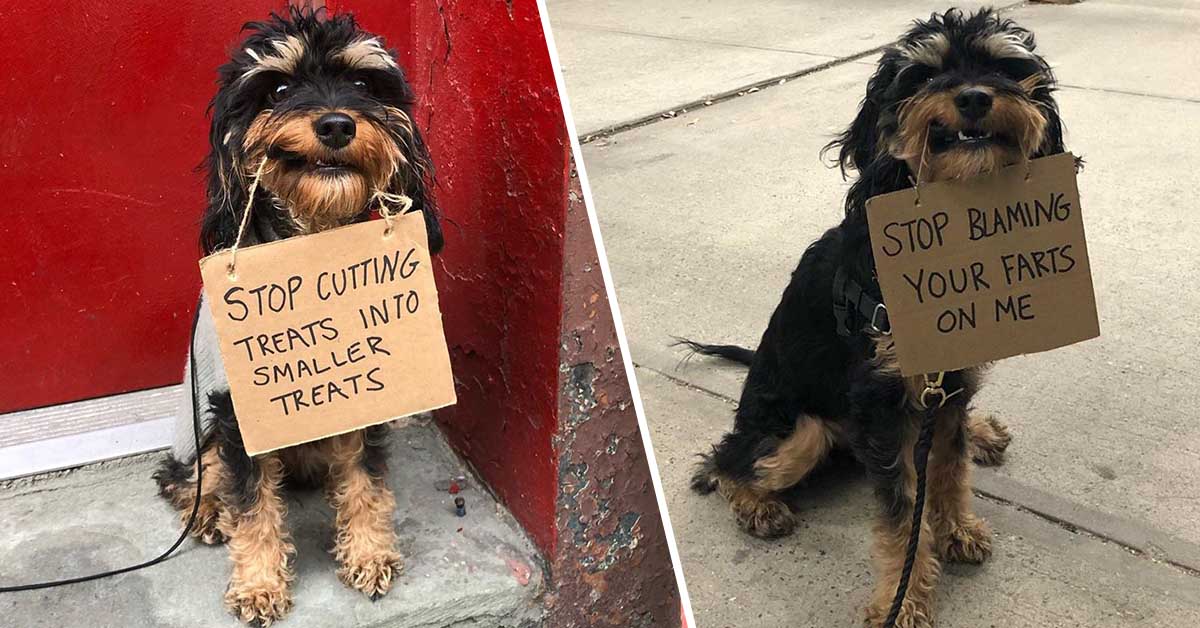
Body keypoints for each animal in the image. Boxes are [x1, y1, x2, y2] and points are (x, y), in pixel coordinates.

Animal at [154, 9, 444, 628]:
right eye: (280, 90)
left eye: (362, 84)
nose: (336, 124)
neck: (313, 242)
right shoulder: (240, 412)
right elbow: (252, 505)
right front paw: (259, 585)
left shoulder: (364, 391)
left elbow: (364, 480)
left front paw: (369, 553)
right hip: (200, 427)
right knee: (189, 476)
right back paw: (208, 512)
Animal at [686, 9, 1070, 628]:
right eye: (924, 74)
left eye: (1003, 67)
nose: (973, 96)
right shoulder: (883, 404)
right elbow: (901, 513)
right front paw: (903, 601)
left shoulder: (949, 385)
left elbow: (948, 471)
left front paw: (956, 530)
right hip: (801, 433)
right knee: (724, 460)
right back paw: (757, 506)